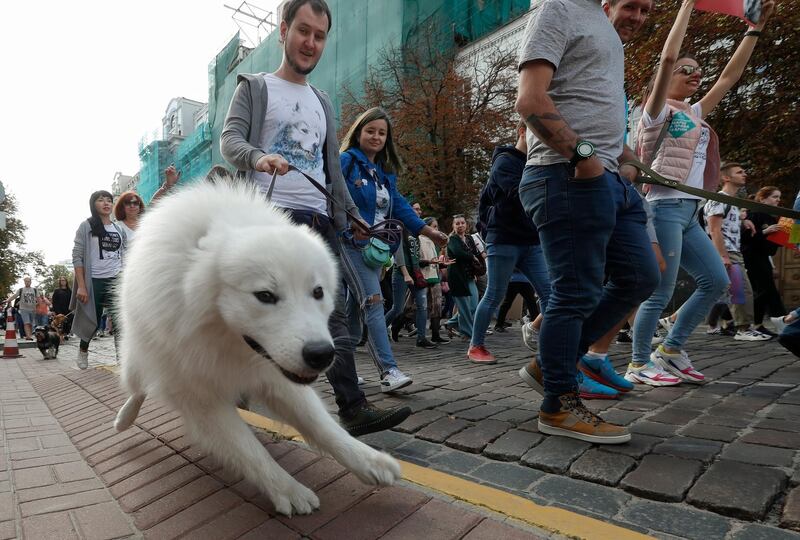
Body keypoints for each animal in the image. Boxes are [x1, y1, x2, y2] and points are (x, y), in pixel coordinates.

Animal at [112, 180, 400, 516]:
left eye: (318, 292)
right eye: (264, 296)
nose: (321, 355)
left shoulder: (277, 375)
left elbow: (322, 426)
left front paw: (369, 461)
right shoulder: (200, 395)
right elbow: (249, 451)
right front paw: (288, 490)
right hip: (142, 358)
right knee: (137, 388)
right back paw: (124, 418)